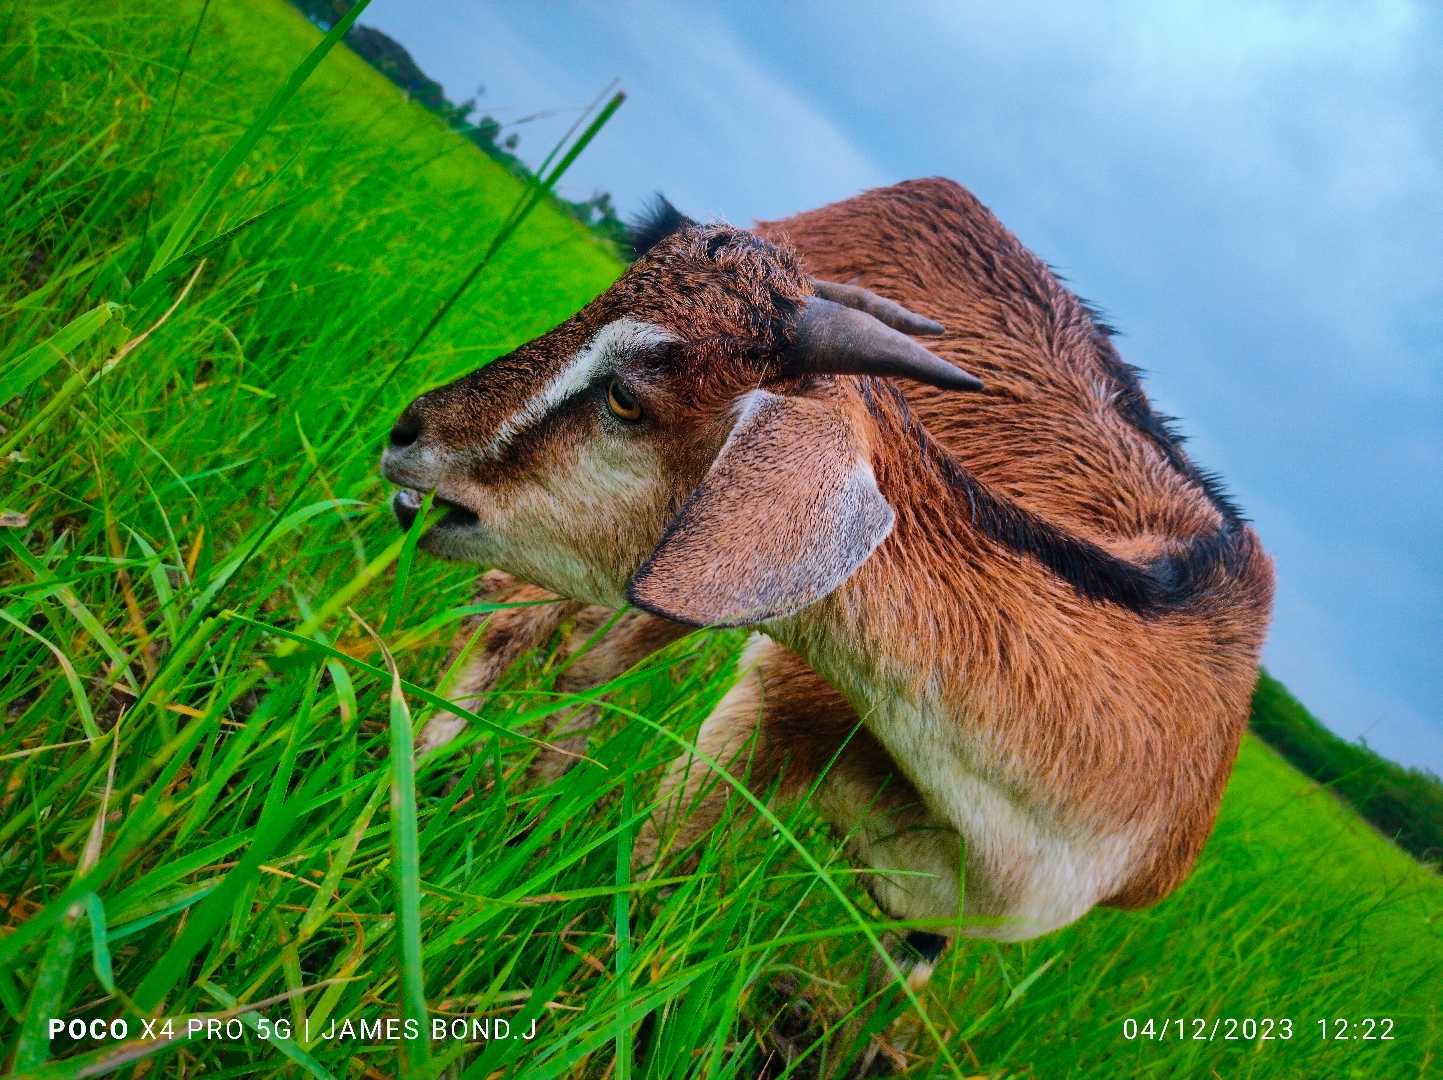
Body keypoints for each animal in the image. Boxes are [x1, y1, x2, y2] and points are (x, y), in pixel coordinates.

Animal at [382, 178, 1273, 981]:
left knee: (589, 662)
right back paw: (424, 779)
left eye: (628, 399)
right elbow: (657, 872)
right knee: (509, 616)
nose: (409, 433)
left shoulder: (931, 929)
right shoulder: (775, 694)